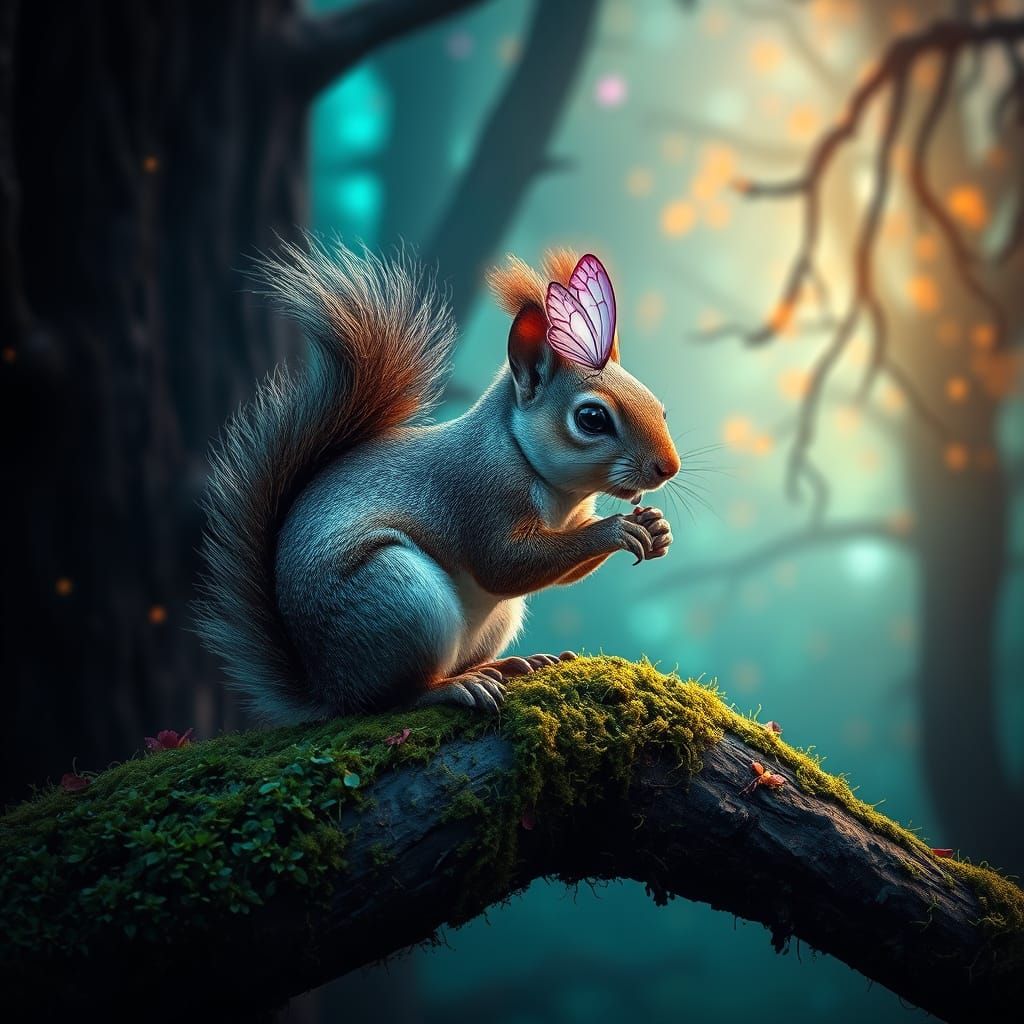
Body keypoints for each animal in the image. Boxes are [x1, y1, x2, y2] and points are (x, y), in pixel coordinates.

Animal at [195, 239, 680, 723]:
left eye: (660, 405)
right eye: (592, 418)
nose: (668, 468)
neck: (557, 489)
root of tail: (329, 689)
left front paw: (655, 527)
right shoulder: (479, 491)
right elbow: (505, 564)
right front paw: (617, 530)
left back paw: (509, 664)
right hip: (396, 599)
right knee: (390, 699)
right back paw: (453, 687)